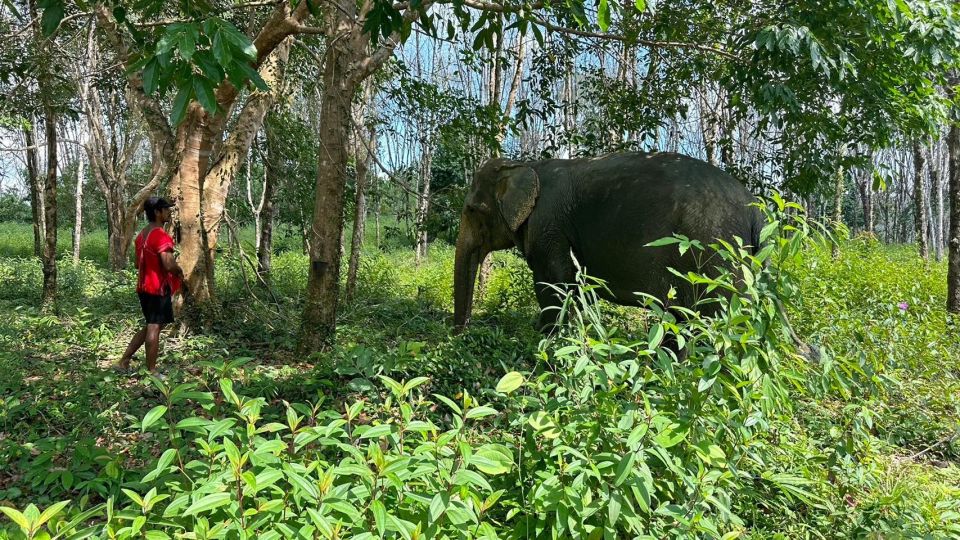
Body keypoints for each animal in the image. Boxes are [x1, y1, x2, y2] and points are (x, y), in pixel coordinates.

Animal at [452, 150, 764, 332]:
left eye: (473, 210)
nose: (462, 331)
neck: (525, 164)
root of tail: (756, 211)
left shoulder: (549, 224)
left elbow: (556, 285)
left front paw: (546, 341)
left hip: (716, 257)